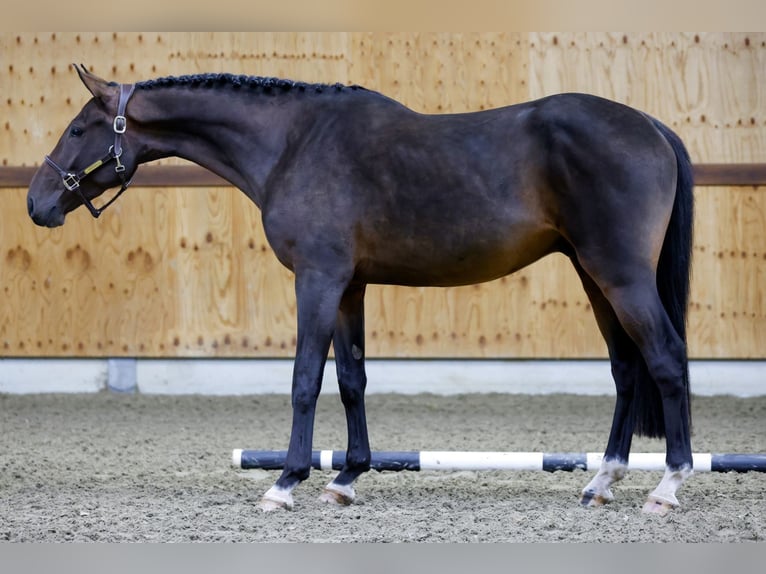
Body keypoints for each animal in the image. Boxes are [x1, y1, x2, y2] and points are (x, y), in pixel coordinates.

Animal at [25, 66, 696, 516]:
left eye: (79, 128)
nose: (37, 203)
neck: (295, 144)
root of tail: (651, 127)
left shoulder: (318, 280)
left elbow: (305, 379)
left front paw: (285, 483)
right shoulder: (350, 287)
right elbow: (352, 380)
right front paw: (345, 479)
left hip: (619, 275)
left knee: (665, 359)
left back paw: (668, 485)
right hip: (593, 275)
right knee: (626, 369)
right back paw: (602, 481)